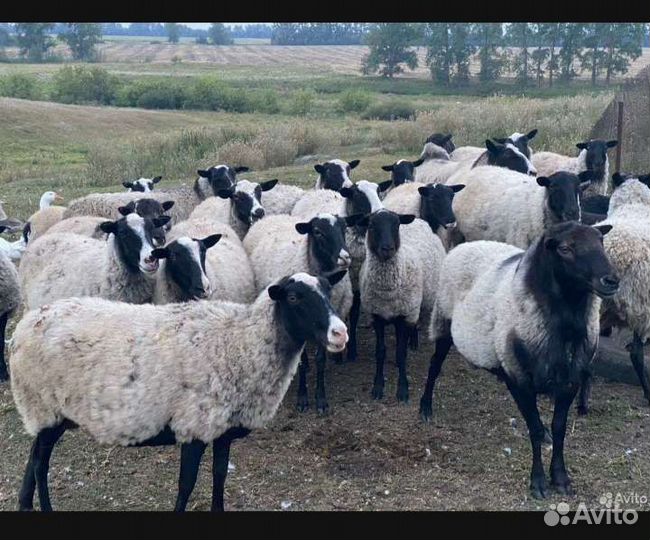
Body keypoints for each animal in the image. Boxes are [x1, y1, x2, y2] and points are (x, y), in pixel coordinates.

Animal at [9, 270, 348, 512]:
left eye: (328, 290)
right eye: (293, 297)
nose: (340, 333)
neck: (242, 341)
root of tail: (23, 327)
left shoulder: (222, 429)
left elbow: (219, 475)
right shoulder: (194, 424)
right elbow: (187, 484)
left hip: (44, 412)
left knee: (32, 456)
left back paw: (25, 505)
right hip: (44, 405)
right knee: (40, 465)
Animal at [244, 212, 360, 413]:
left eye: (344, 228)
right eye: (317, 231)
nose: (345, 257)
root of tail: (273, 216)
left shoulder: (323, 327)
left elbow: (320, 360)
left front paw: (320, 399)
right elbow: (301, 362)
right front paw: (302, 398)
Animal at [359, 210, 445, 402]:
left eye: (397, 224)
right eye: (371, 225)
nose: (387, 248)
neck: (387, 292)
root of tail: (419, 221)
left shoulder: (404, 316)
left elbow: (401, 352)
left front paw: (403, 389)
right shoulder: (376, 316)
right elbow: (380, 351)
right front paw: (377, 387)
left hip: (416, 303)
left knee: (415, 322)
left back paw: (413, 341)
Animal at [420, 222, 618, 499]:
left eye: (601, 242)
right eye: (565, 249)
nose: (611, 280)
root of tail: (465, 244)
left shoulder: (571, 380)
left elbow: (559, 427)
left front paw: (560, 478)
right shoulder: (519, 378)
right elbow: (533, 428)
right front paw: (538, 482)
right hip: (444, 321)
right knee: (434, 366)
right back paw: (425, 407)